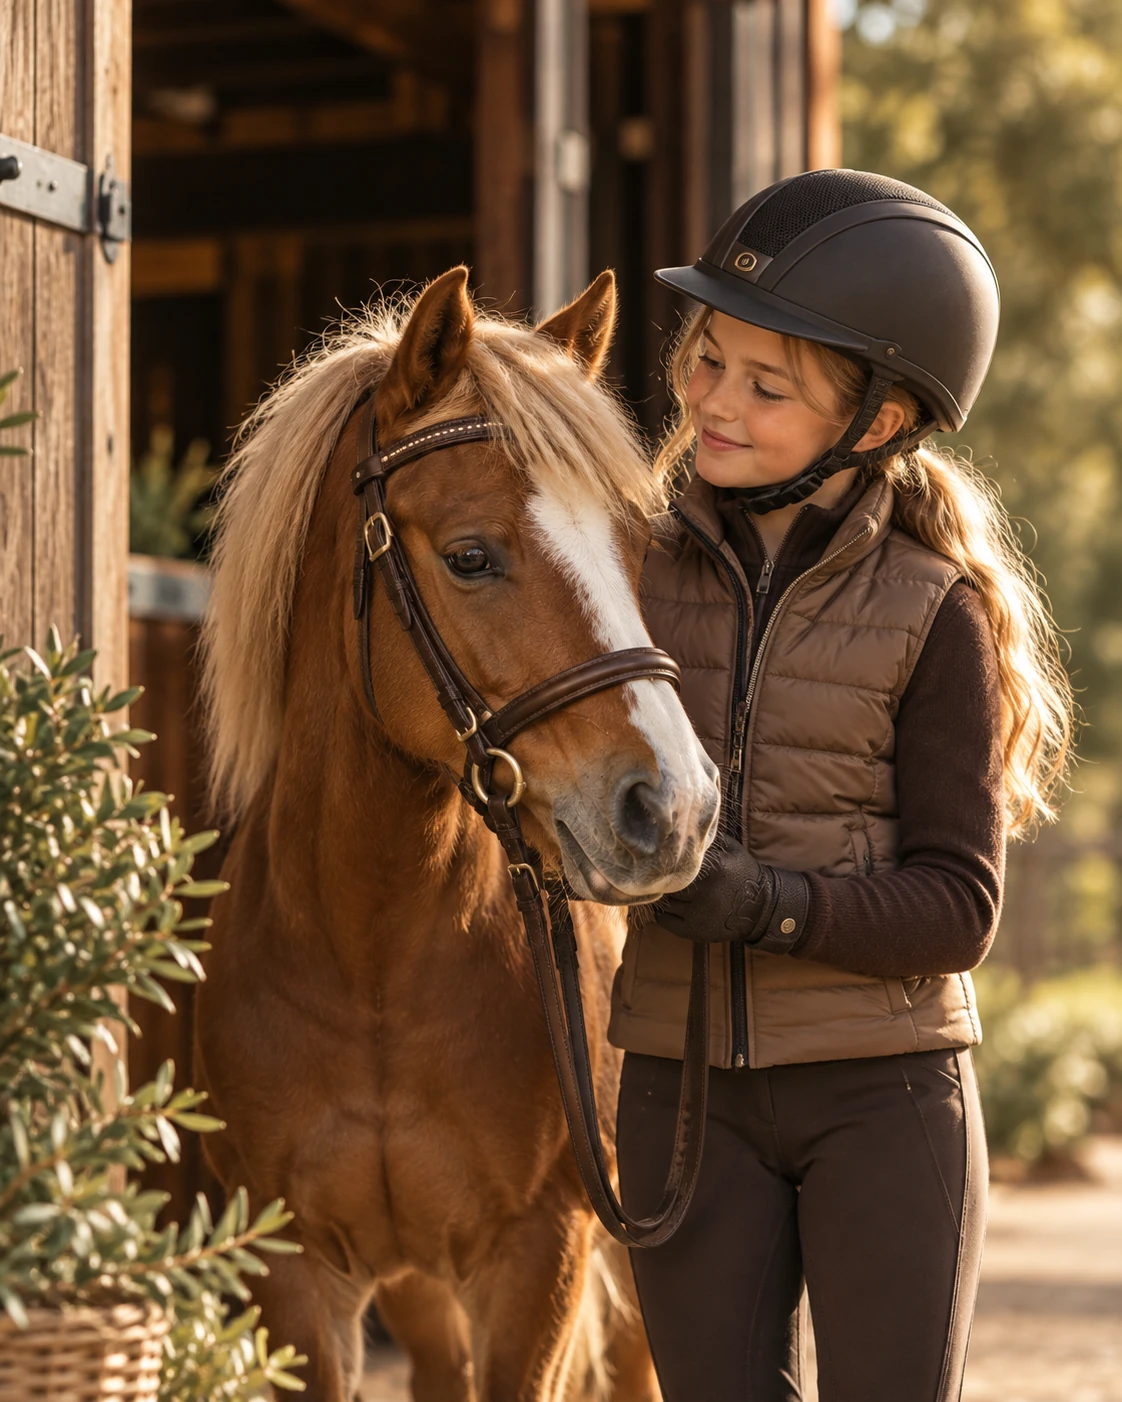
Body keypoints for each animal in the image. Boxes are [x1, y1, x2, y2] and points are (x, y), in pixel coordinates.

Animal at [194, 265, 720, 1402]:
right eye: (472, 557)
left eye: (635, 553)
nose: (676, 809)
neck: (371, 963)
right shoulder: (299, 1278)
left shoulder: (537, 1262)